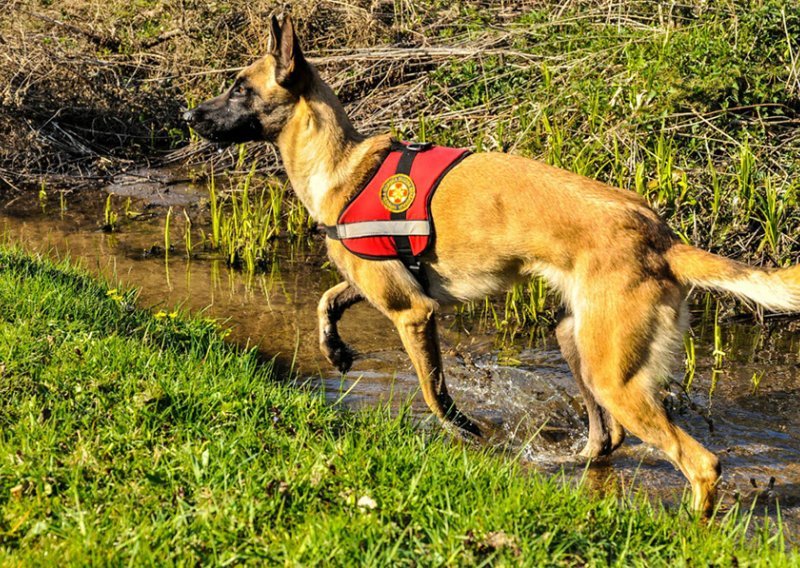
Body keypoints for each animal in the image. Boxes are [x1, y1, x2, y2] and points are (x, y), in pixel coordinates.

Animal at [184, 15, 800, 516]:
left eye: (240, 88)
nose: (188, 115)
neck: (341, 164)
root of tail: (660, 235)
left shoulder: (413, 313)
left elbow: (434, 392)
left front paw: (466, 433)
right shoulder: (385, 285)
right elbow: (327, 298)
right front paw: (334, 349)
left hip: (614, 374)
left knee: (701, 463)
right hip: (576, 341)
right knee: (607, 438)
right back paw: (571, 464)